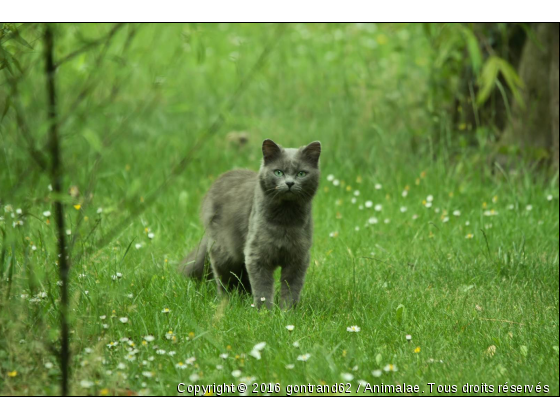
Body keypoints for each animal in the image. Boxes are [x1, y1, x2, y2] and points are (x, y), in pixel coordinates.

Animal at [182, 139, 322, 308]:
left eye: (301, 173)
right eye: (278, 172)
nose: (289, 183)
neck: (285, 219)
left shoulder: (298, 258)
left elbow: (291, 289)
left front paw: (287, 311)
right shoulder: (257, 255)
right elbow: (262, 288)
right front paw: (265, 311)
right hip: (225, 252)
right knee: (224, 281)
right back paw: (228, 303)